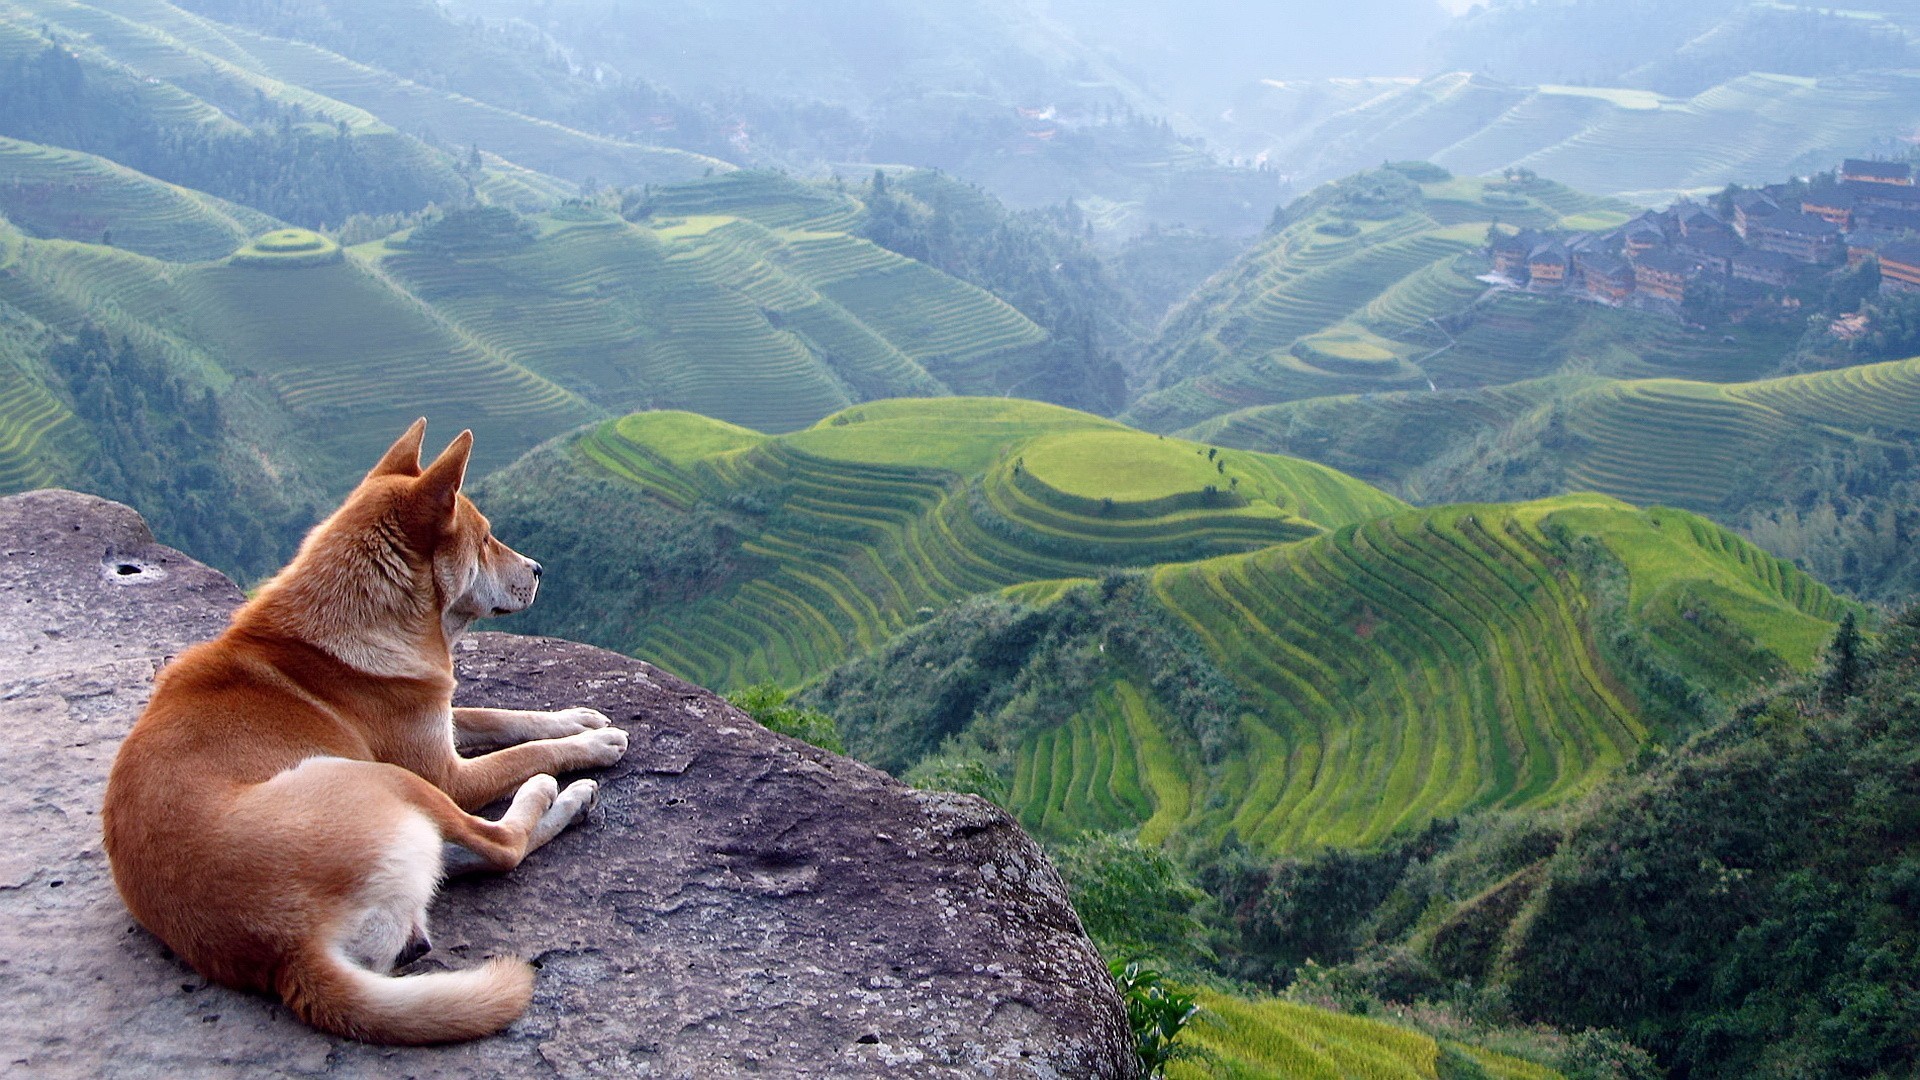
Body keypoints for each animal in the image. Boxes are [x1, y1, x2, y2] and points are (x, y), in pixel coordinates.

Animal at [101, 420, 625, 1045]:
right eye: (486, 539)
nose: (540, 569)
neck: (356, 618)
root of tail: (288, 951)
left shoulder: (436, 713)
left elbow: (502, 716)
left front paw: (577, 718)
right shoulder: (446, 773)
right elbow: (524, 752)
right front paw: (588, 744)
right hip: (384, 779)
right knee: (501, 846)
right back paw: (557, 794)